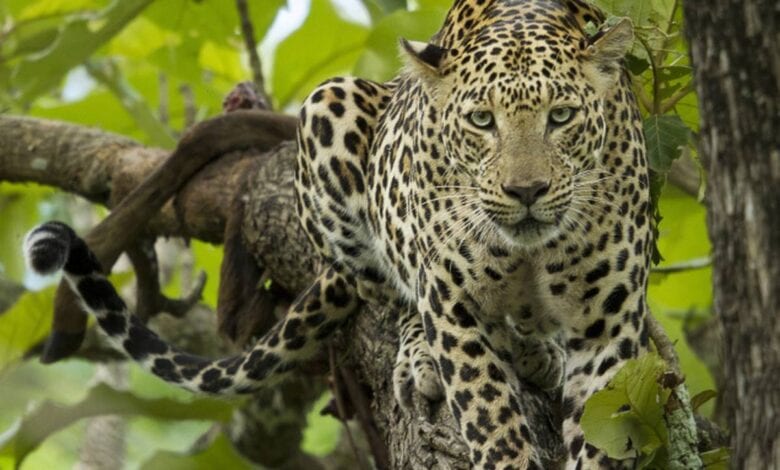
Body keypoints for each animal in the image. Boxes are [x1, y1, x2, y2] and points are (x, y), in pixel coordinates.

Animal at [24, 0, 653, 468]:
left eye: (561, 117)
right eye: (482, 121)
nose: (526, 191)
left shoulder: (609, 328)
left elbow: (603, 434)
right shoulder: (454, 302)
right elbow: (489, 415)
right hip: (331, 111)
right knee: (391, 296)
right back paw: (425, 355)